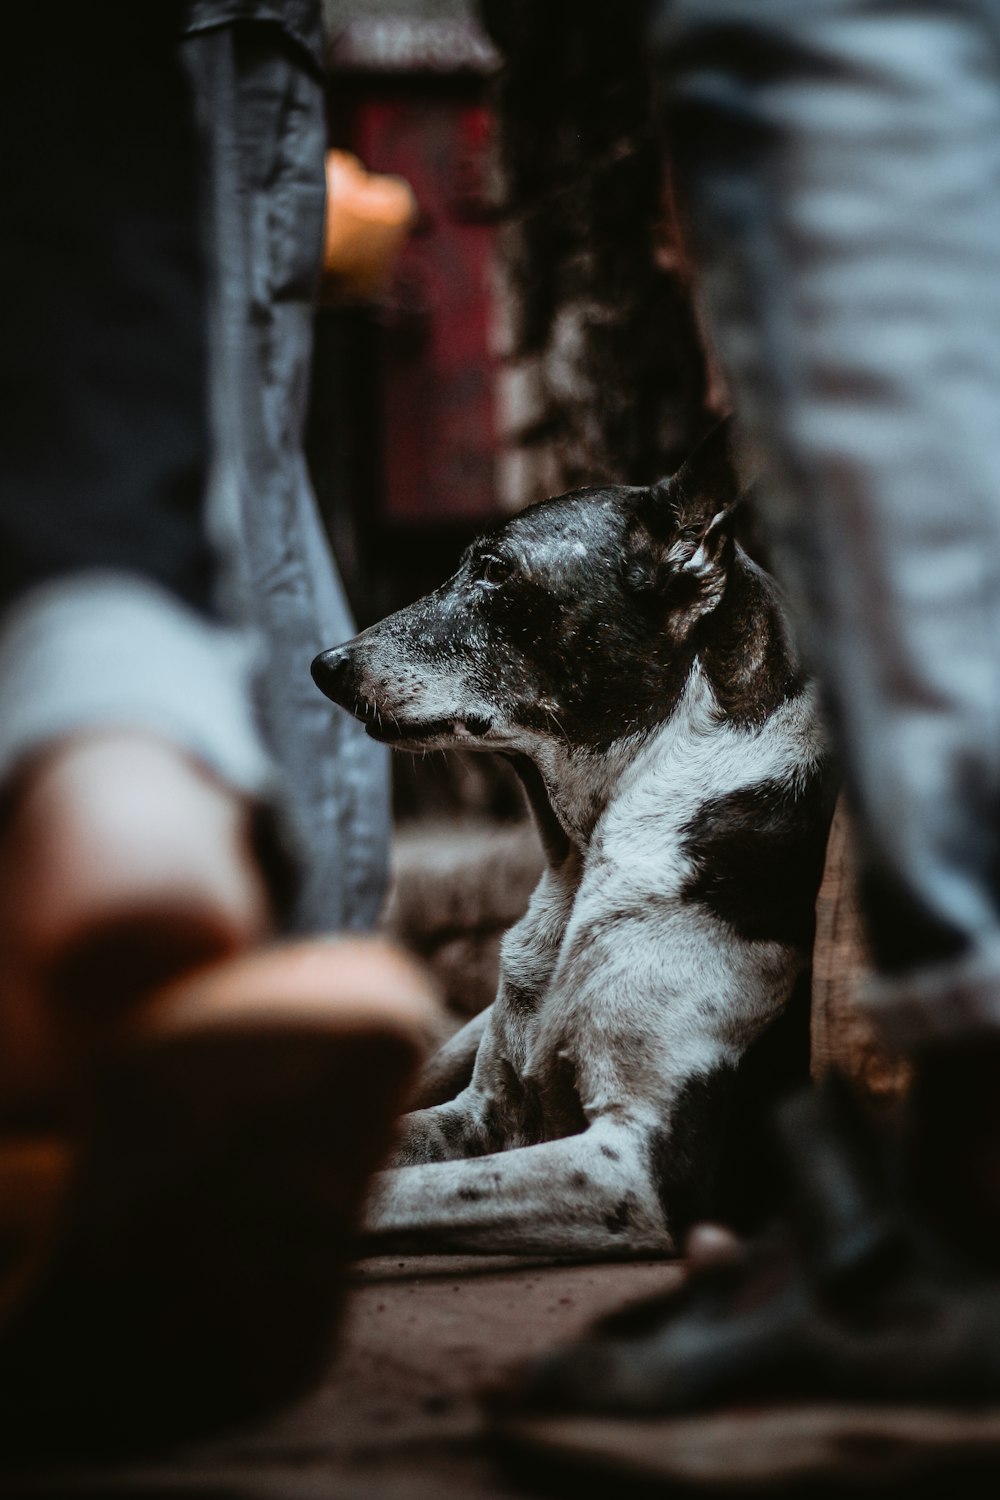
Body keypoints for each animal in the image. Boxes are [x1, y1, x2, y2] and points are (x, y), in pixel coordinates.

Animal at [313, 423, 839, 1254]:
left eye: (495, 568)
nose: (323, 666)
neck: (582, 861)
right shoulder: (483, 1111)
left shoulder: (641, 1162)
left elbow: (403, 1190)